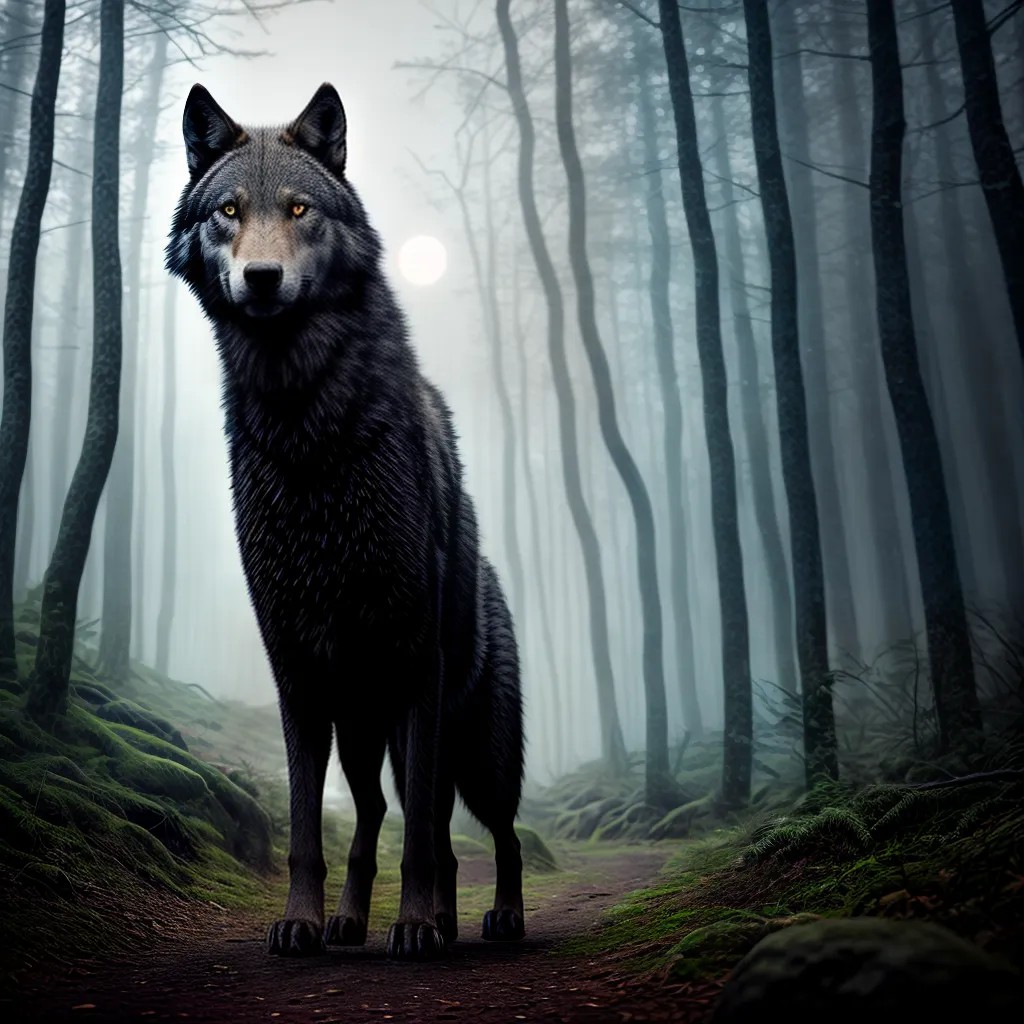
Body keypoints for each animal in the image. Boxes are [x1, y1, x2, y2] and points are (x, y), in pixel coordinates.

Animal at [166, 83, 526, 960]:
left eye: (299, 208)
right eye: (229, 210)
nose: (261, 278)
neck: (308, 429)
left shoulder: (417, 660)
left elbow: (426, 835)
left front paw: (419, 926)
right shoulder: (296, 671)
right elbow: (307, 828)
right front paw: (300, 920)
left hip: (475, 748)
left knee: (495, 834)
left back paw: (491, 920)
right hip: (363, 734)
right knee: (376, 820)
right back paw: (353, 922)